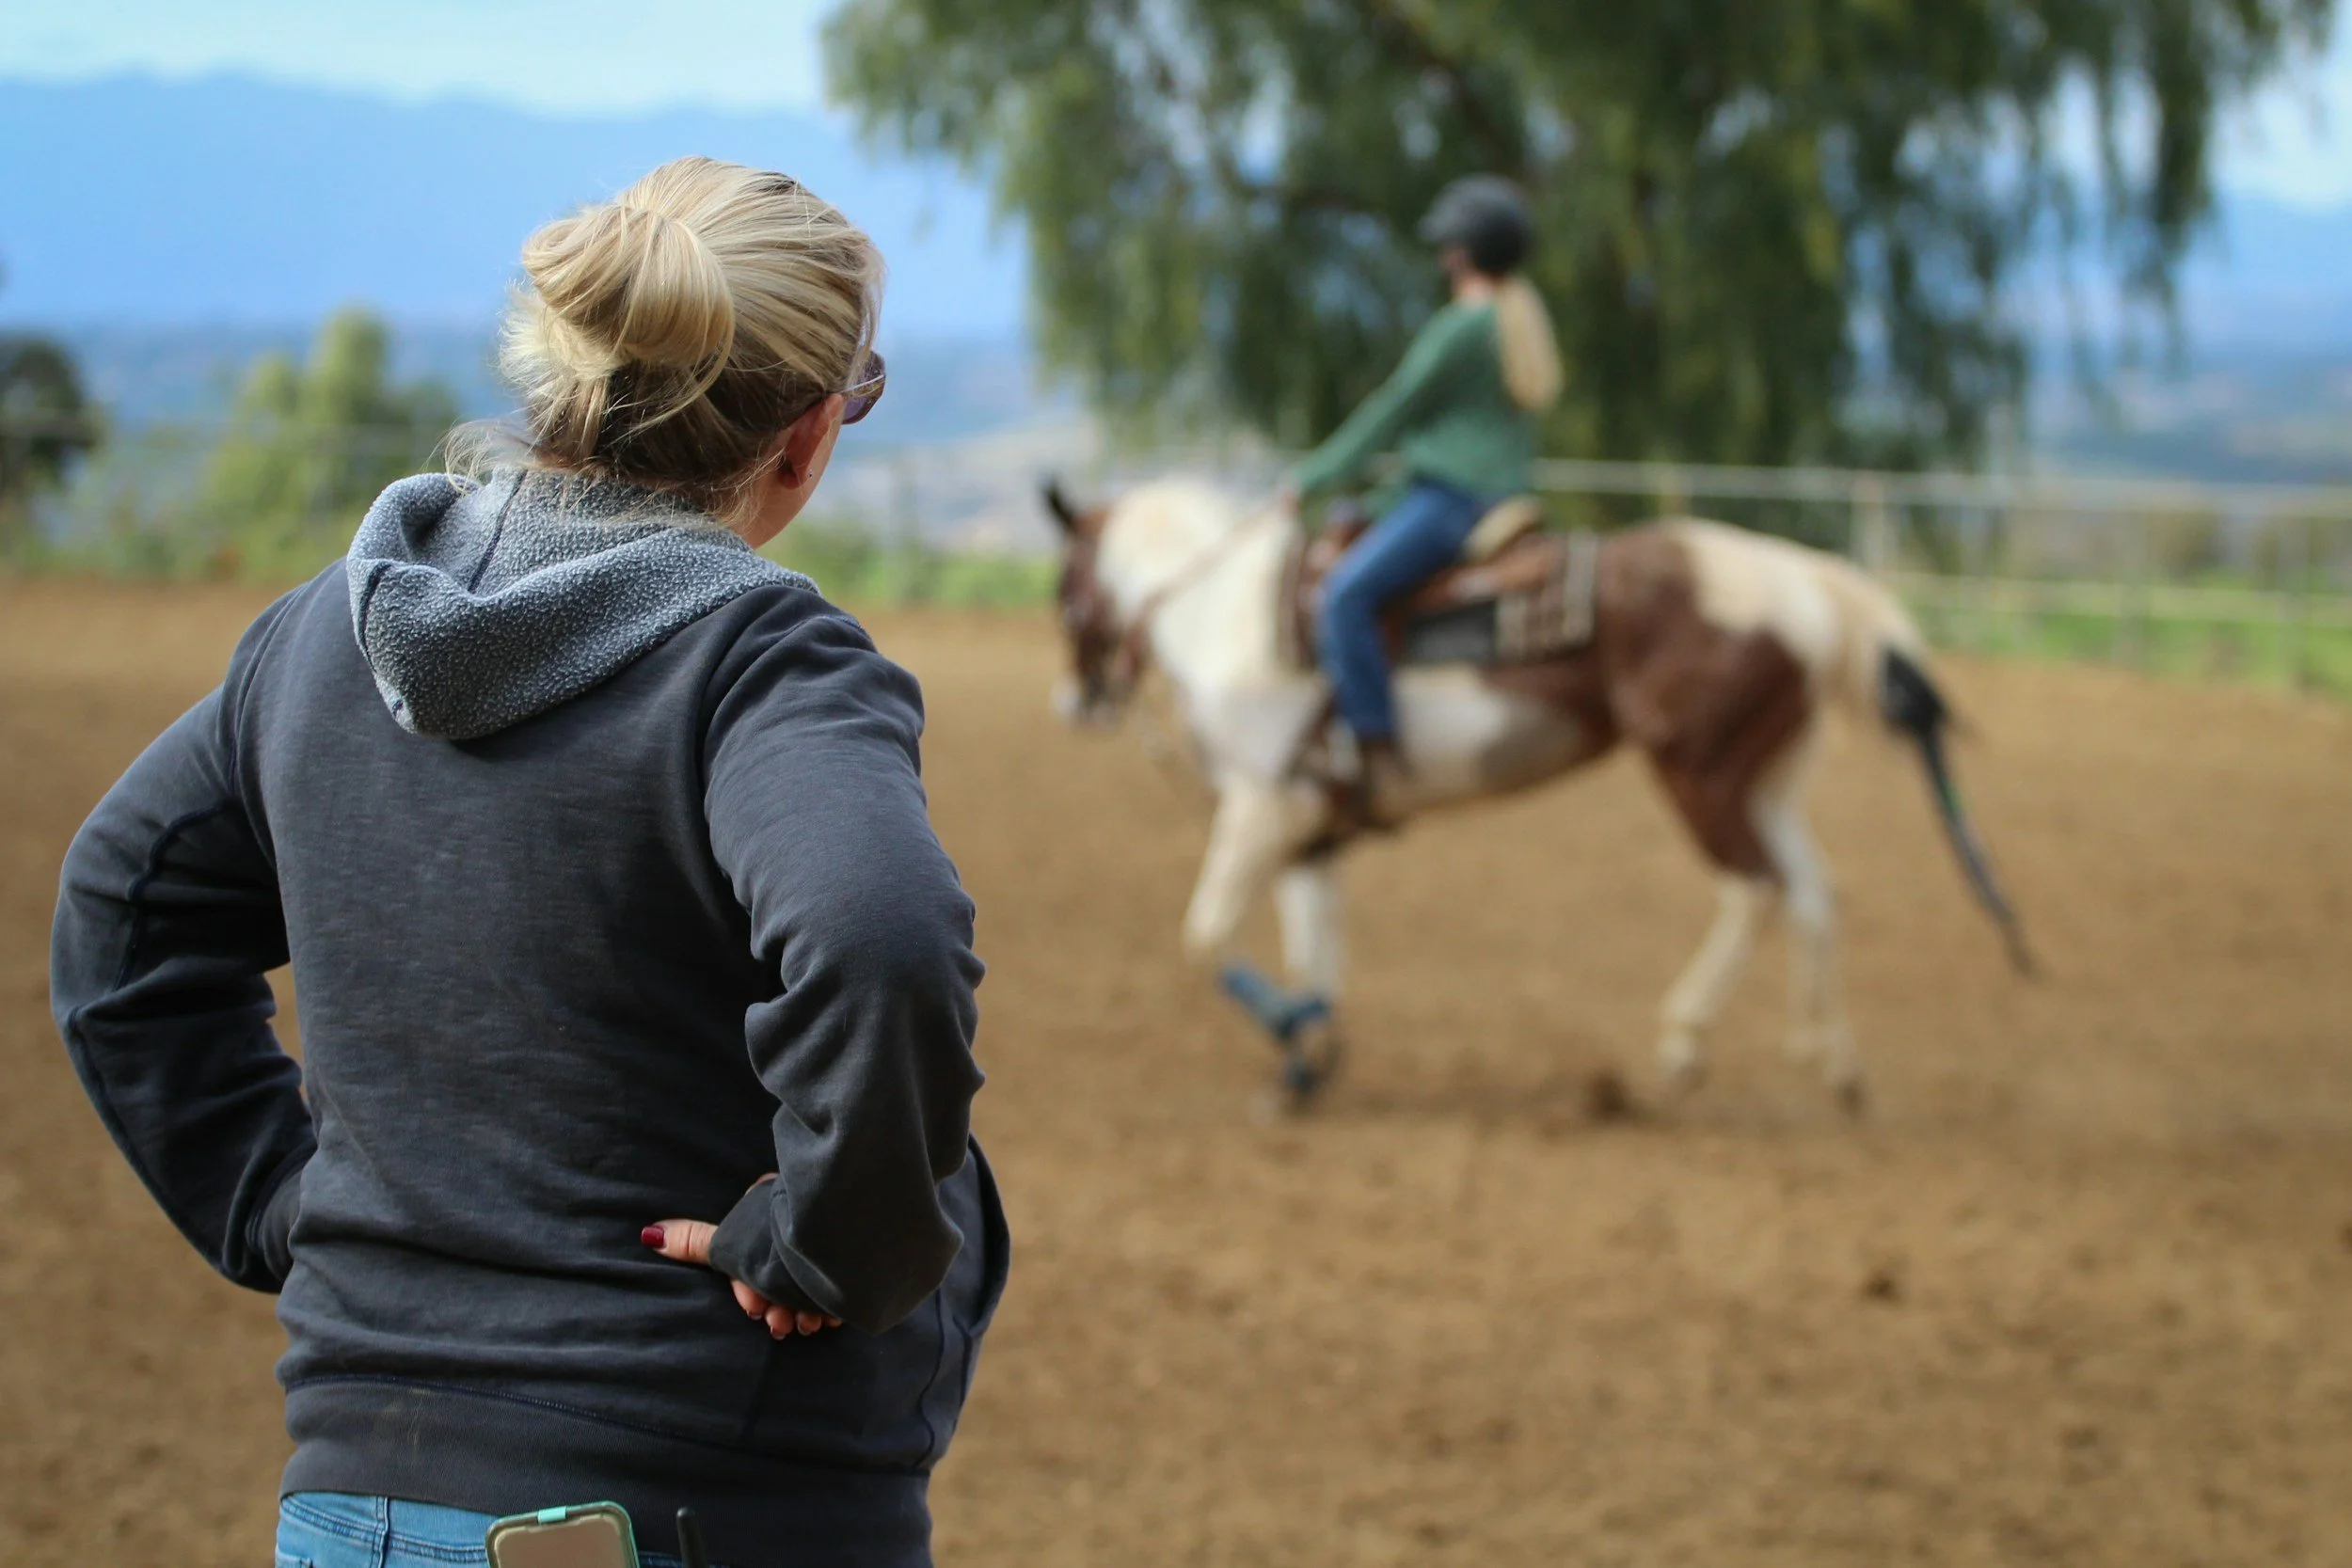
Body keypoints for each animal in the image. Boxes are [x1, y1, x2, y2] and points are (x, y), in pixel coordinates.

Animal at [1043, 476, 2031, 1114]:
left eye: (1063, 589)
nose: (1076, 701)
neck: (1224, 615)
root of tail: (1808, 580)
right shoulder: (1310, 826)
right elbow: (1315, 944)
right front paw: (1307, 1060)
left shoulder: (1261, 806)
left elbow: (1207, 936)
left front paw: (1298, 1031)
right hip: (1766, 780)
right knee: (1816, 893)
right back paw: (1834, 1063)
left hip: (1699, 774)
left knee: (1754, 888)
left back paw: (1684, 1044)